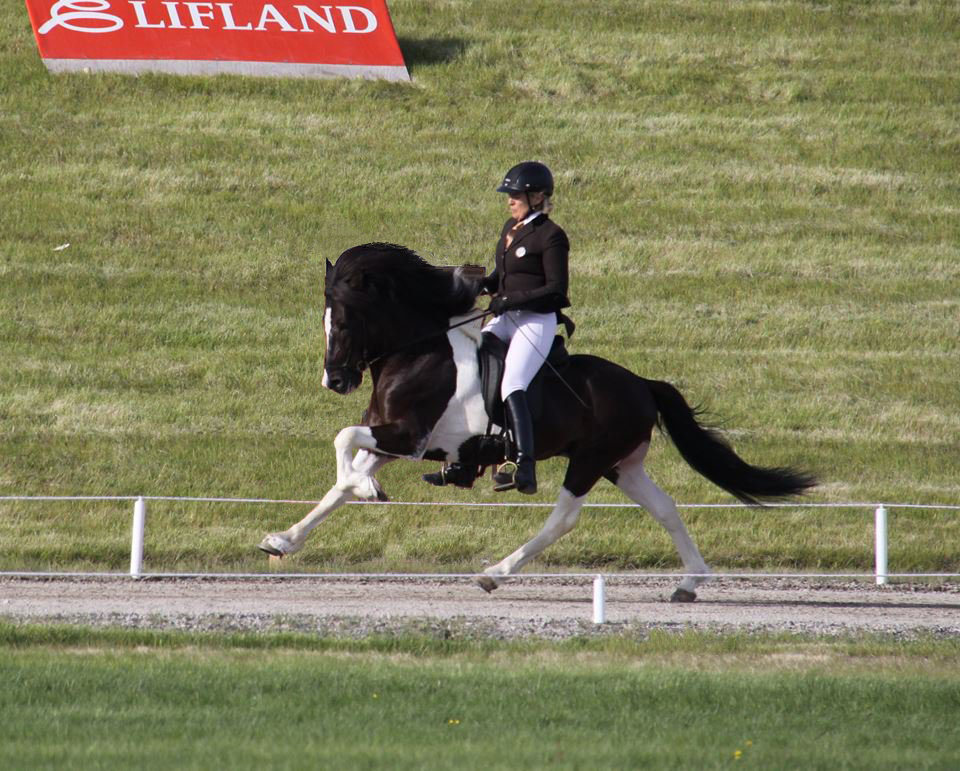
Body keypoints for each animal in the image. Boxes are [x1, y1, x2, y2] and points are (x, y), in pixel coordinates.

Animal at [258, 243, 816, 601]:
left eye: (345, 321)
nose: (335, 381)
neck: (417, 352)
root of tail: (642, 383)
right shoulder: (394, 439)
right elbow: (340, 479)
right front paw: (284, 540)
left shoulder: (408, 437)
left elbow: (343, 443)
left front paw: (367, 490)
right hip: (621, 464)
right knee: (665, 508)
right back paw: (690, 583)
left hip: (589, 460)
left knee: (563, 518)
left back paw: (496, 572)